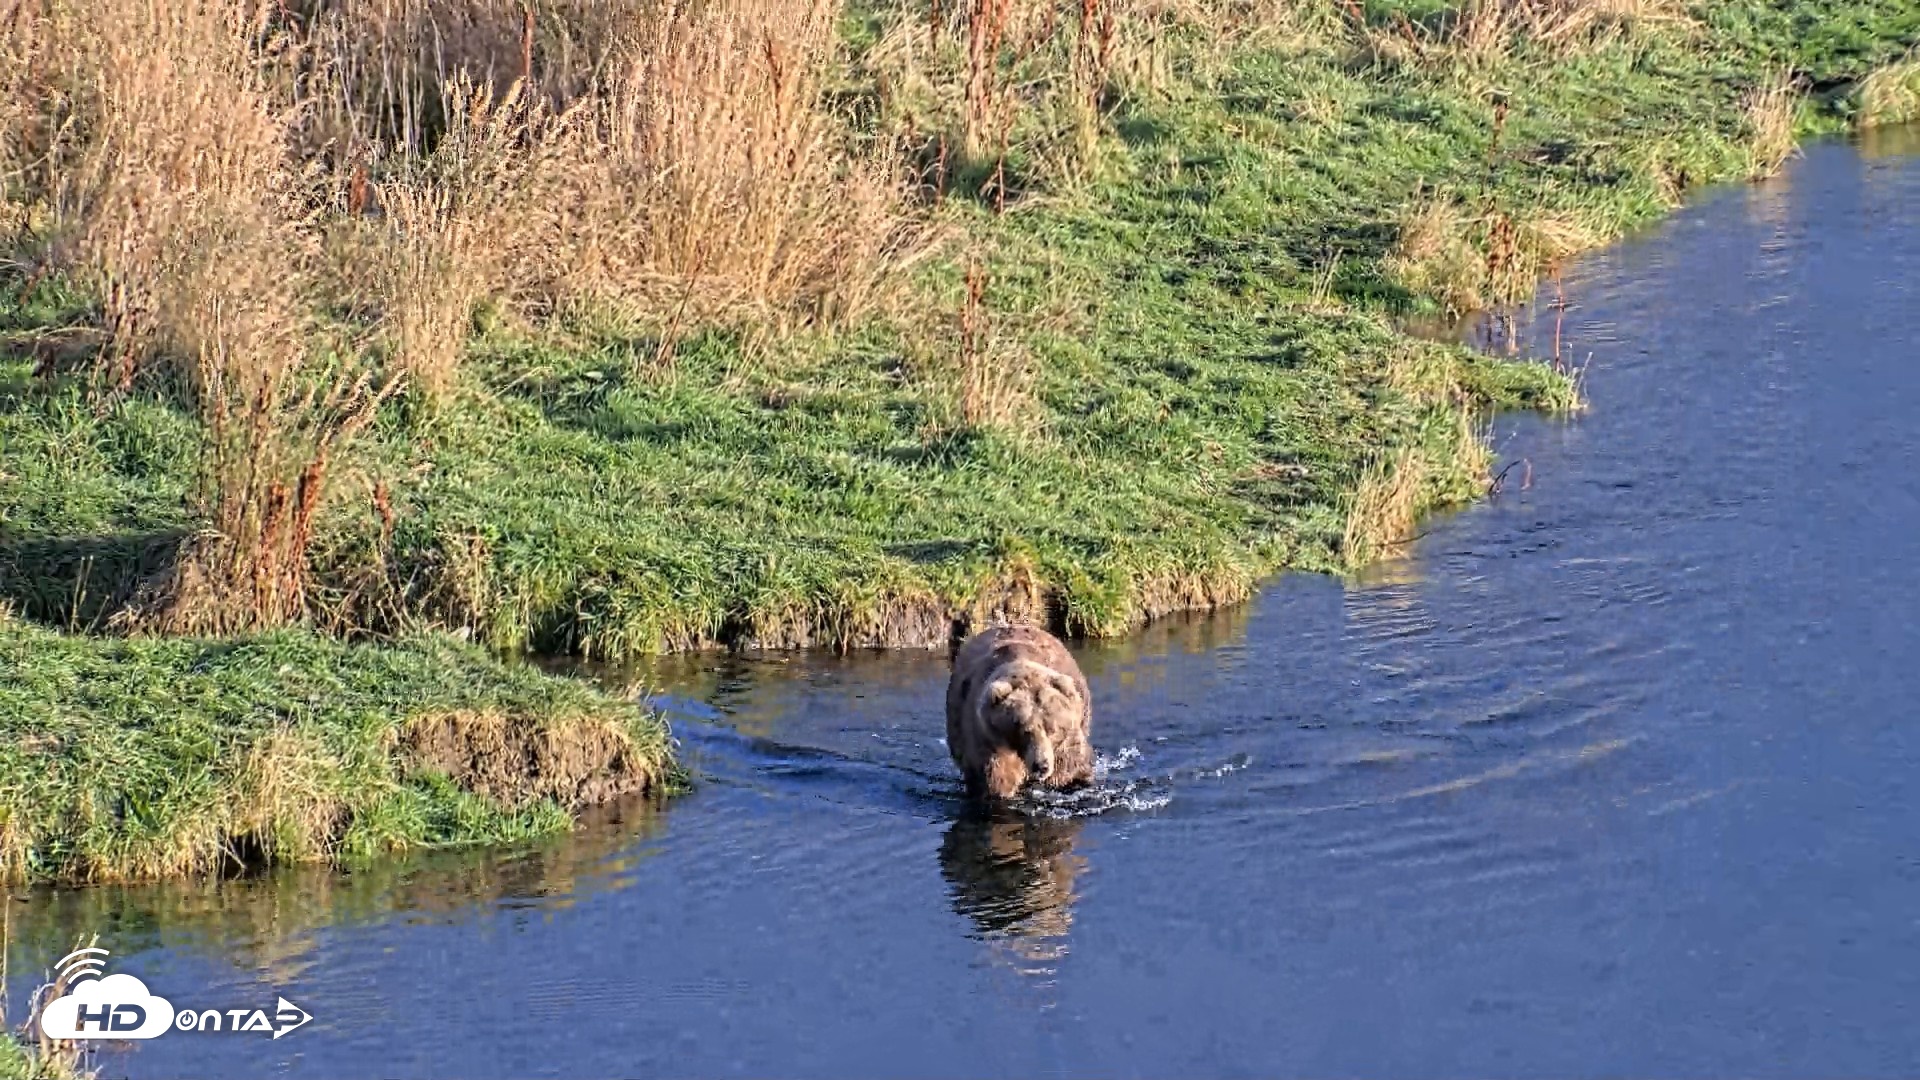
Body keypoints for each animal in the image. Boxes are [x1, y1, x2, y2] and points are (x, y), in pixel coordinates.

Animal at [945, 623, 1095, 800]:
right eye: (1023, 729)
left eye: (1053, 729)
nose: (1041, 766)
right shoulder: (988, 740)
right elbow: (997, 780)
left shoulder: (1067, 741)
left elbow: (1071, 769)